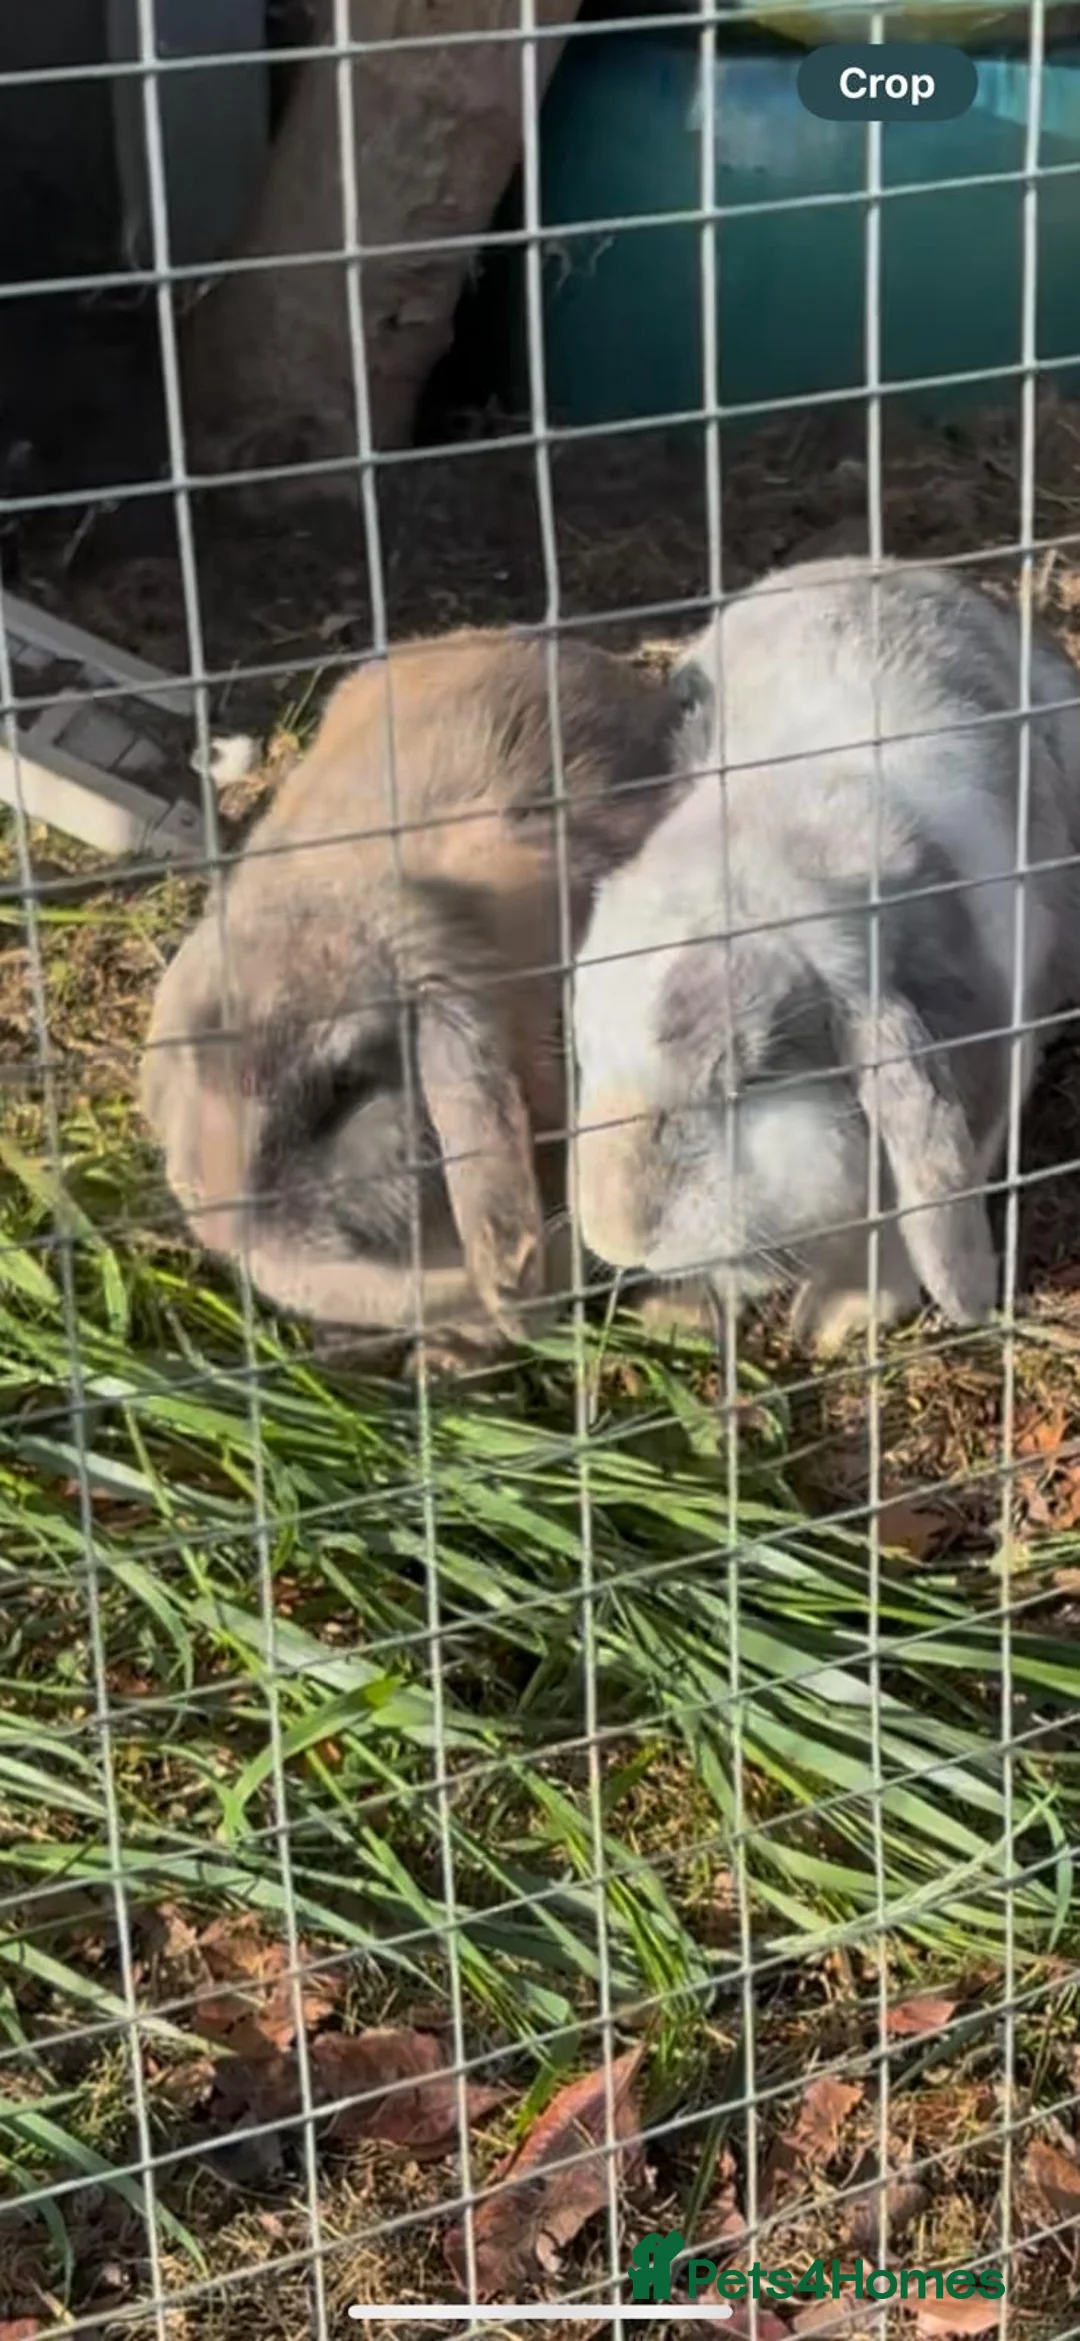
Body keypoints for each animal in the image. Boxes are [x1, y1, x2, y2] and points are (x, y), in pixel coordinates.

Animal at [570, 556, 1080, 1355]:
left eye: (751, 1082)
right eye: (585, 1051)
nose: (617, 1236)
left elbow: (903, 1219)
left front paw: (840, 1319)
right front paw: (678, 1313)